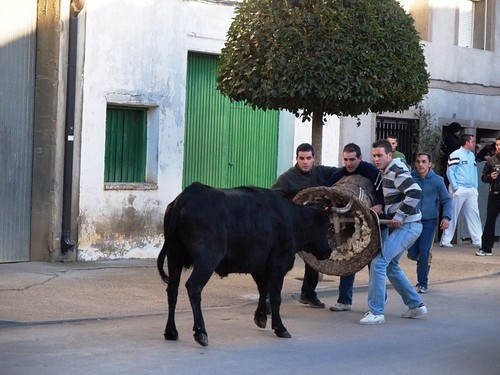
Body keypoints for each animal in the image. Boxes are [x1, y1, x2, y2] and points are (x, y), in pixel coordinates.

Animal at [158, 184, 332, 348]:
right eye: (326, 226)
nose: (329, 251)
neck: (292, 220)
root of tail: (191, 191)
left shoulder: (258, 267)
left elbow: (263, 290)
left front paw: (260, 317)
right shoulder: (278, 266)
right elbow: (275, 297)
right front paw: (280, 328)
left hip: (174, 258)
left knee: (172, 291)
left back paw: (171, 332)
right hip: (206, 260)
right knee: (194, 287)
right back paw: (201, 333)